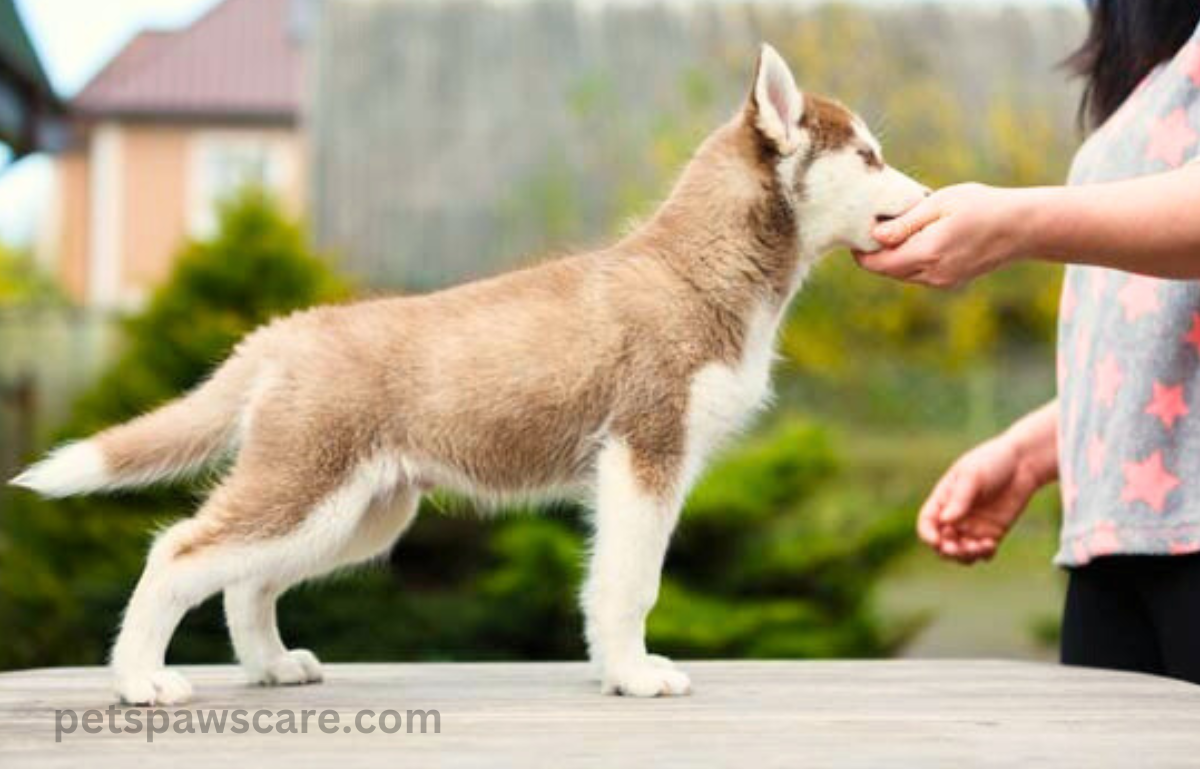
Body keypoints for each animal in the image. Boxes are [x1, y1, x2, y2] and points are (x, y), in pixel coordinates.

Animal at [11, 43, 926, 700]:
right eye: (870, 157)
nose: (926, 199)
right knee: (179, 550)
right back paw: (140, 680)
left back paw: (271, 666)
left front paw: (613, 669)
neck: (701, 268)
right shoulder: (646, 452)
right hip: (307, 488)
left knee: (245, 582)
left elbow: (611, 579)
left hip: (356, 514)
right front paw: (635, 675)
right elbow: (631, 581)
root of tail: (284, 331)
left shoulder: (636, 468)